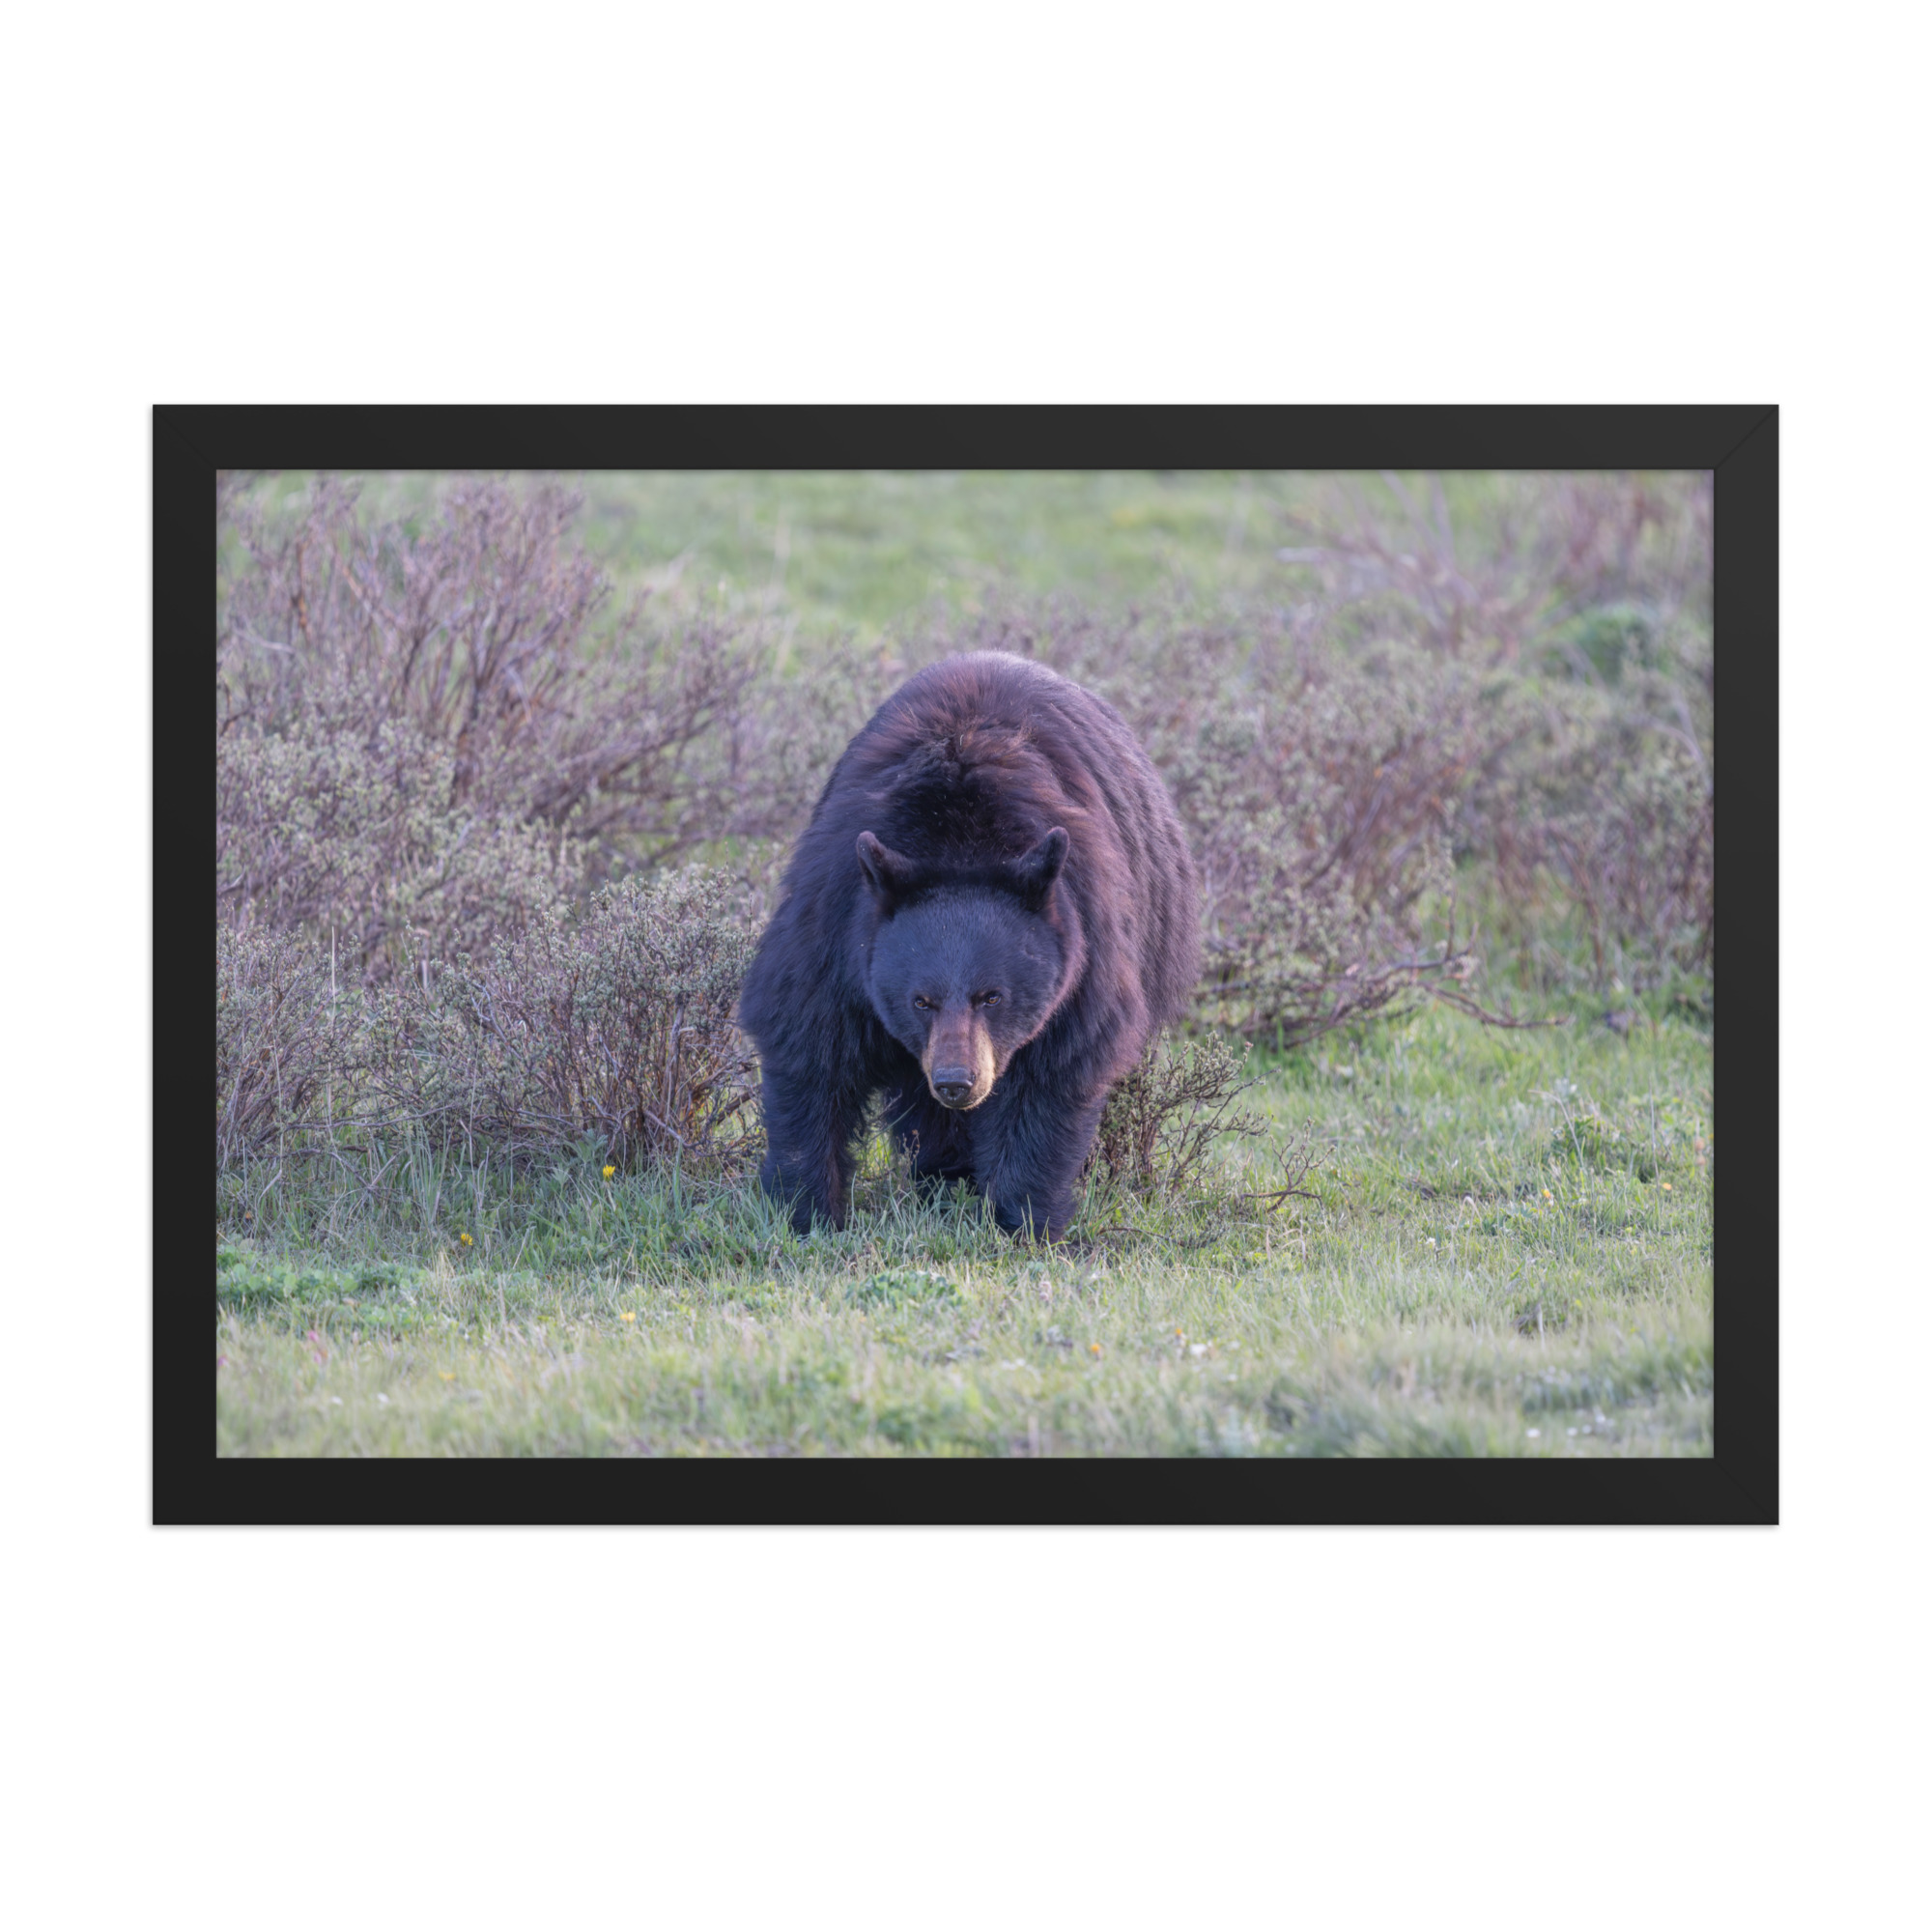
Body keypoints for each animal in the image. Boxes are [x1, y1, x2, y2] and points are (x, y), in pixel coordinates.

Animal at [737, 651, 1200, 1241]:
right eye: (920, 1000)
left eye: (992, 996)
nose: (958, 1082)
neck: (958, 840)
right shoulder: (836, 921)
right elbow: (808, 1045)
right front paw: (806, 1210)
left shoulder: (1085, 942)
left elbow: (1053, 1074)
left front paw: (1024, 1220)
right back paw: (943, 1175)